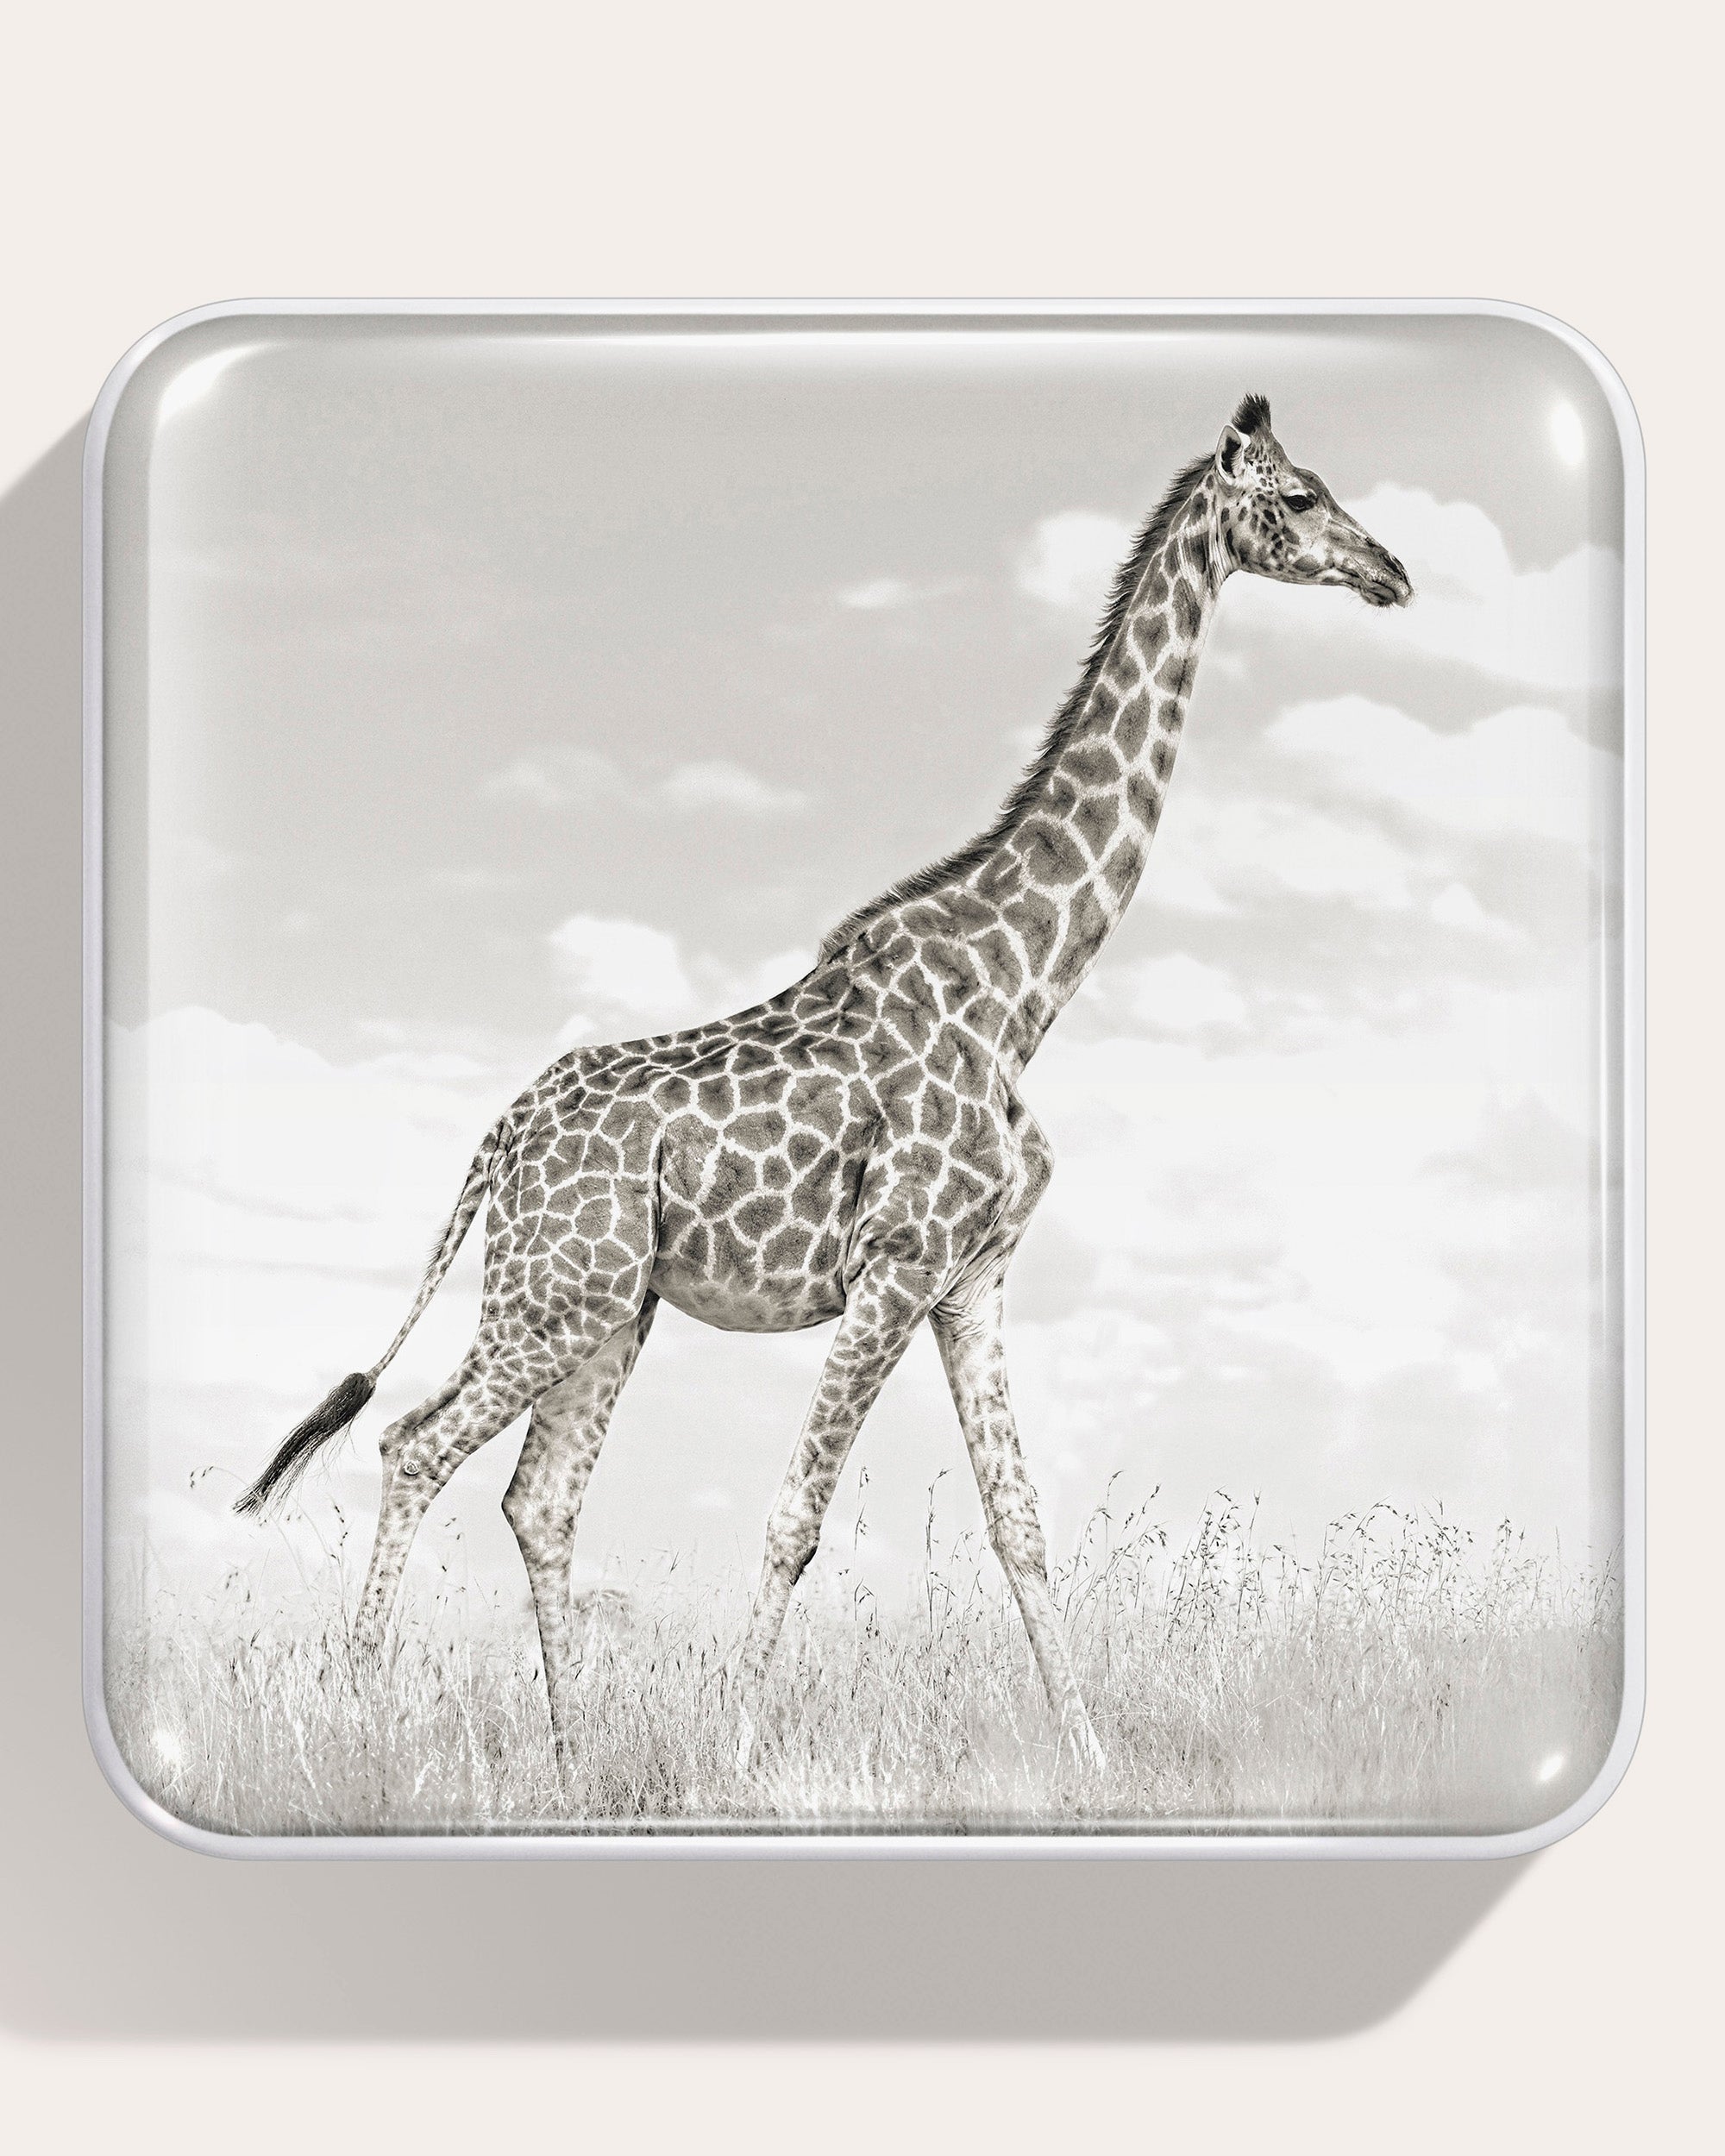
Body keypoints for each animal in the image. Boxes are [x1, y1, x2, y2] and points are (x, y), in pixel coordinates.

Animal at [237, 393, 1411, 1776]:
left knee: (538, 1496)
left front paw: (1089, 1757)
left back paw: (573, 1749)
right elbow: (796, 1516)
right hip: (551, 1298)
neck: (1021, 992)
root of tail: (497, 1141)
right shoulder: (897, 1265)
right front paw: (740, 1748)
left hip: (609, 1307)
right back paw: (358, 1711)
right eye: (1298, 498)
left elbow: (1020, 1520)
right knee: (415, 1444)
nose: (1394, 572)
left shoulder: (971, 1280)